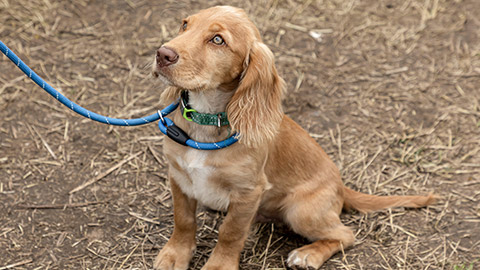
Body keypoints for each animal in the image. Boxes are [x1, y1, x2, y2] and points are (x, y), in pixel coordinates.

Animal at [153, 5, 436, 268]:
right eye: (185, 25)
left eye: (218, 40)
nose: (162, 54)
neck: (206, 118)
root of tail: (340, 185)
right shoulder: (178, 175)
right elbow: (183, 220)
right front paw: (175, 255)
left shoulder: (248, 192)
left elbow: (230, 233)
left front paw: (218, 265)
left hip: (301, 211)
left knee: (345, 234)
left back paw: (308, 254)